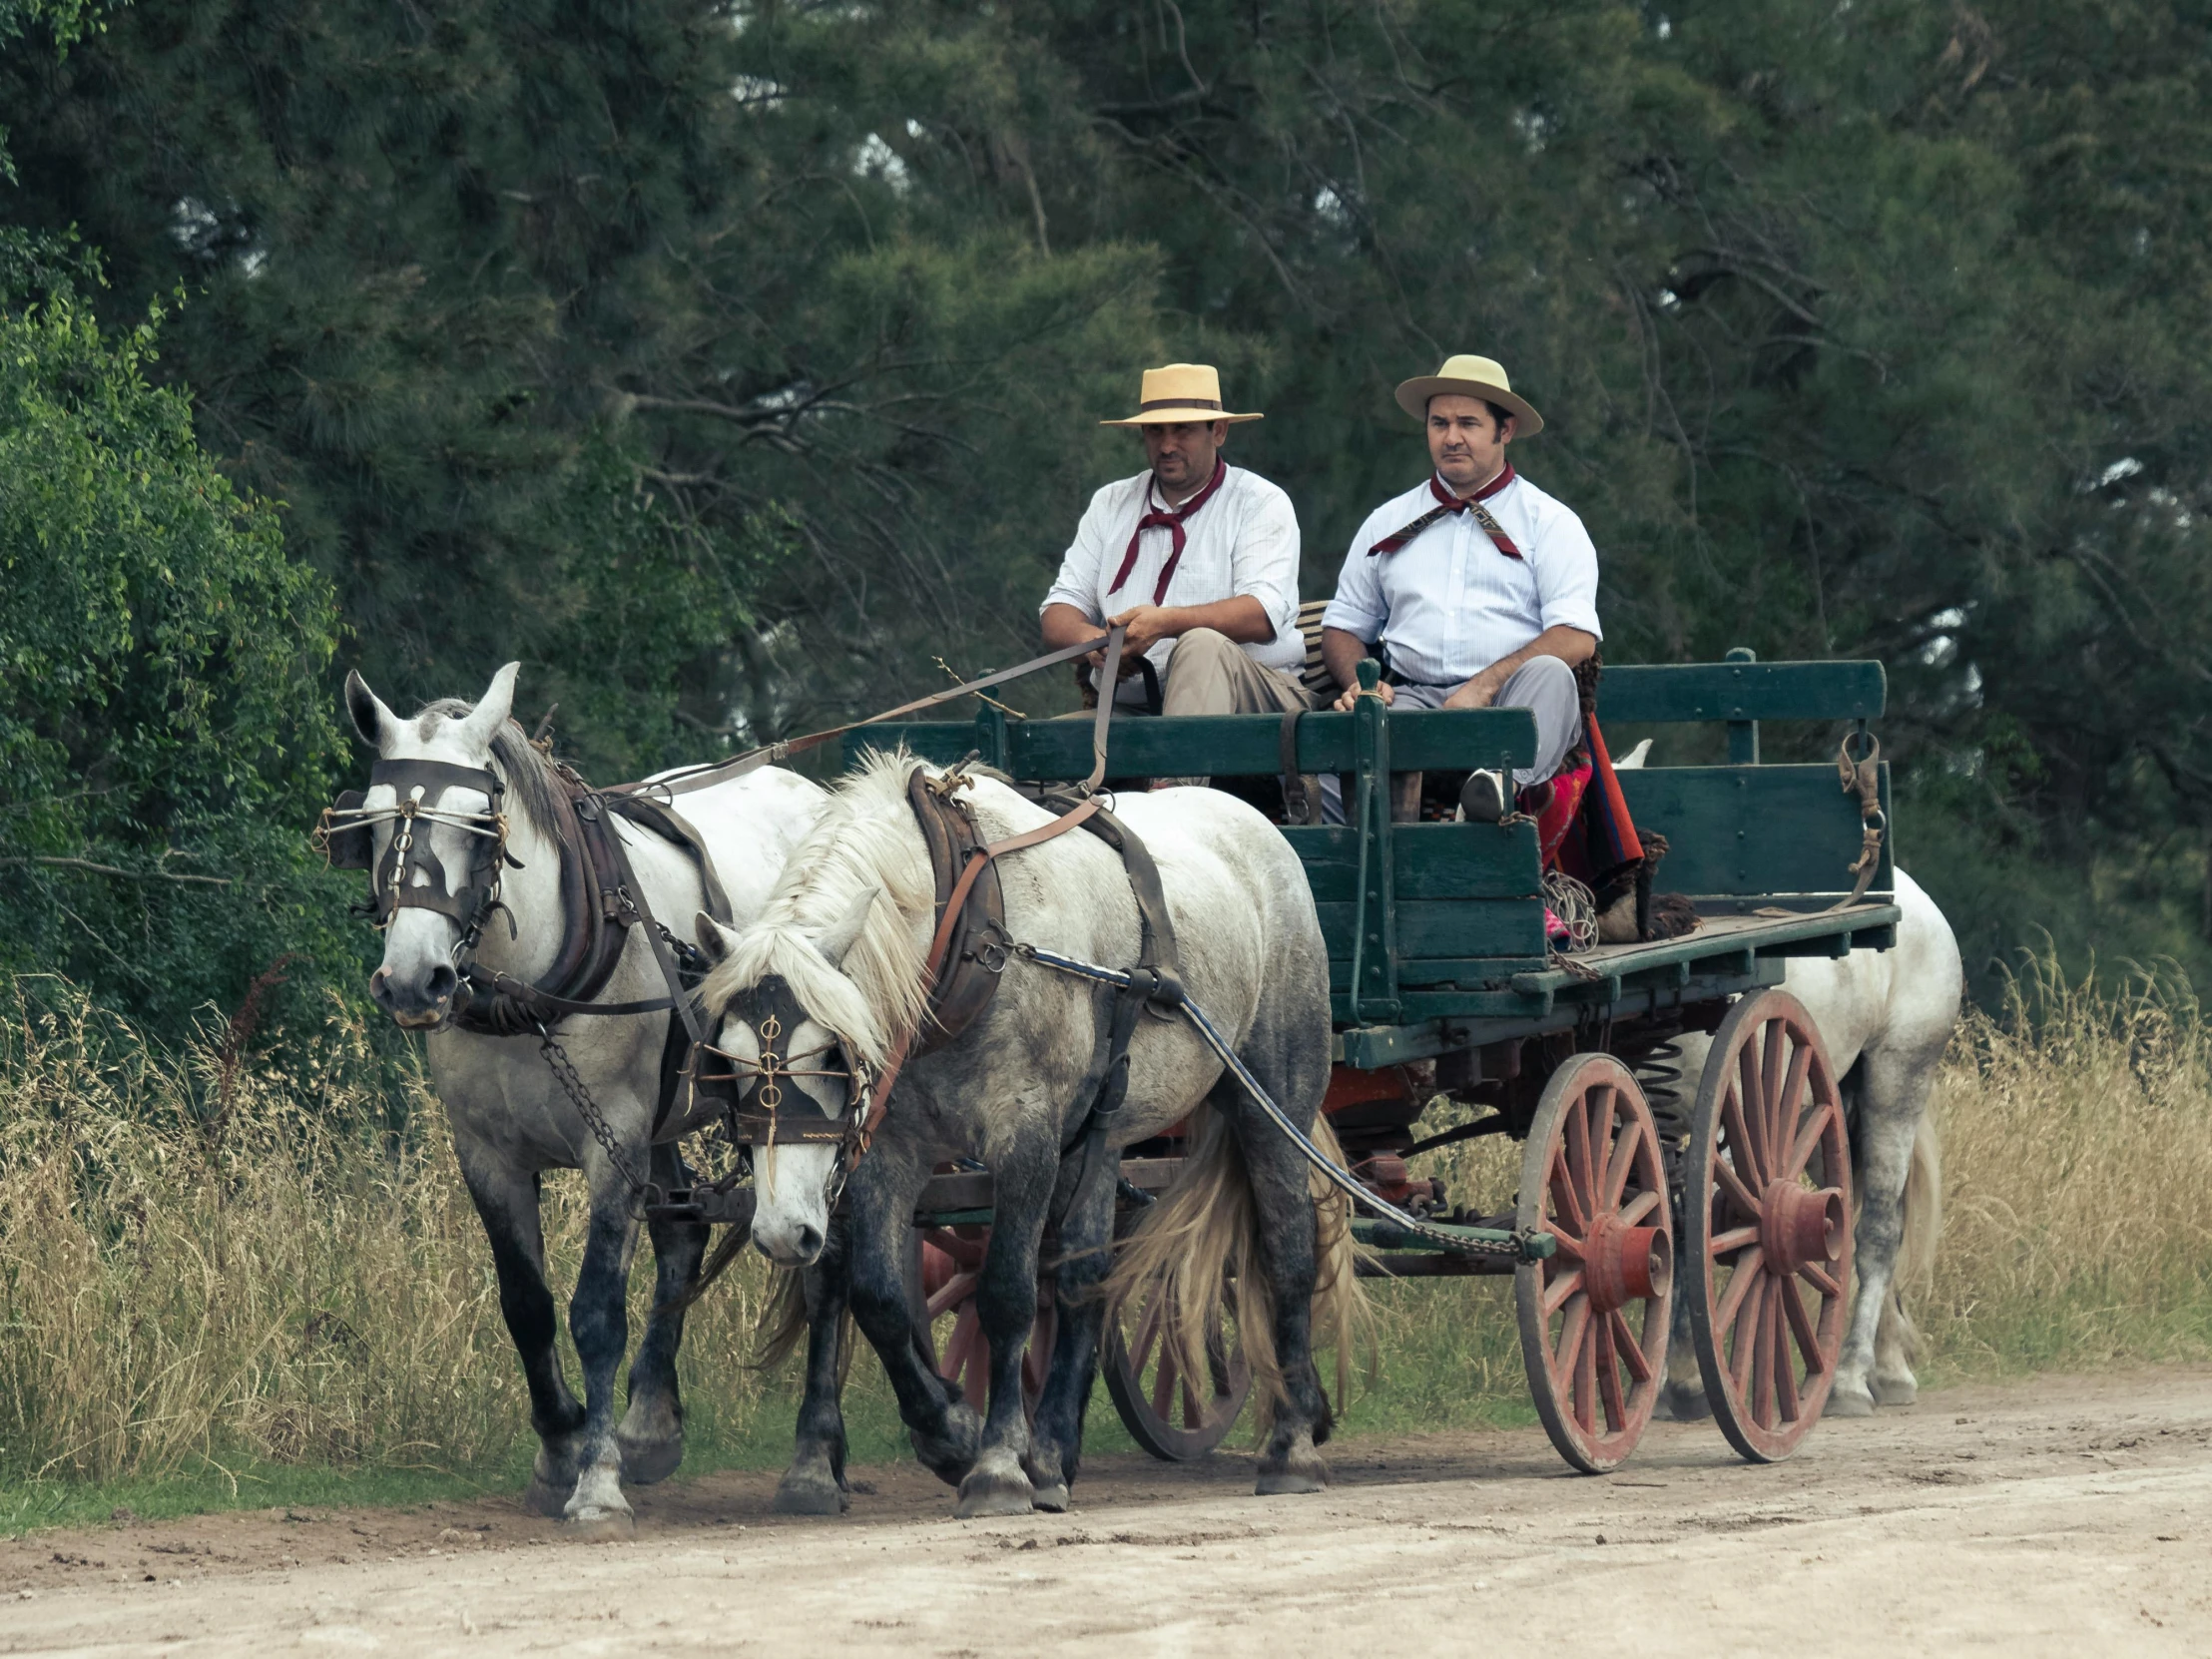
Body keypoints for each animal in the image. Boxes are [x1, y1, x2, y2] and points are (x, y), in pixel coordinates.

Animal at [340, 663, 827, 1530]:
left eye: (481, 823)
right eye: (370, 823)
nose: (413, 981)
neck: (527, 986)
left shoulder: (612, 1147)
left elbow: (596, 1310)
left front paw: (596, 1478)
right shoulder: (488, 1156)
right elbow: (526, 1305)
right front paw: (559, 1447)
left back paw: (809, 1463)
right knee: (682, 1237)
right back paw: (651, 1430)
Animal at [1619, 748, 1963, 1424]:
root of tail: (1910, 896)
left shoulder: (1714, 1121)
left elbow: (1692, 1225)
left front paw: (1685, 1381)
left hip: (1898, 1078)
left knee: (1877, 1228)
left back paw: (1851, 1377)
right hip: (1824, 1104)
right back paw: (1887, 1367)